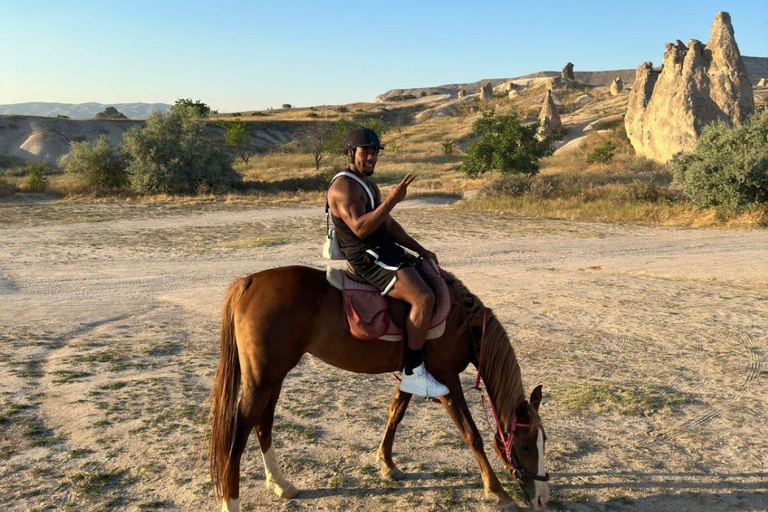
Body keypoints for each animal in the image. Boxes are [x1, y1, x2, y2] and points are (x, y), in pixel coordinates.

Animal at [208, 265, 550, 511]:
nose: (542, 497)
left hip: (273, 377)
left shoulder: (415, 373)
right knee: (238, 433)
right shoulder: (447, 379)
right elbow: (471, 434)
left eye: (543, 441)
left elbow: (395, 413)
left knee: (263, 425)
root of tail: (250, 281)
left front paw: (387, 464)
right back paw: (231, 502)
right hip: (262, 380)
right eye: (525, 446)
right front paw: (498, 491)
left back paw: (281, 484)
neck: (462, 321)